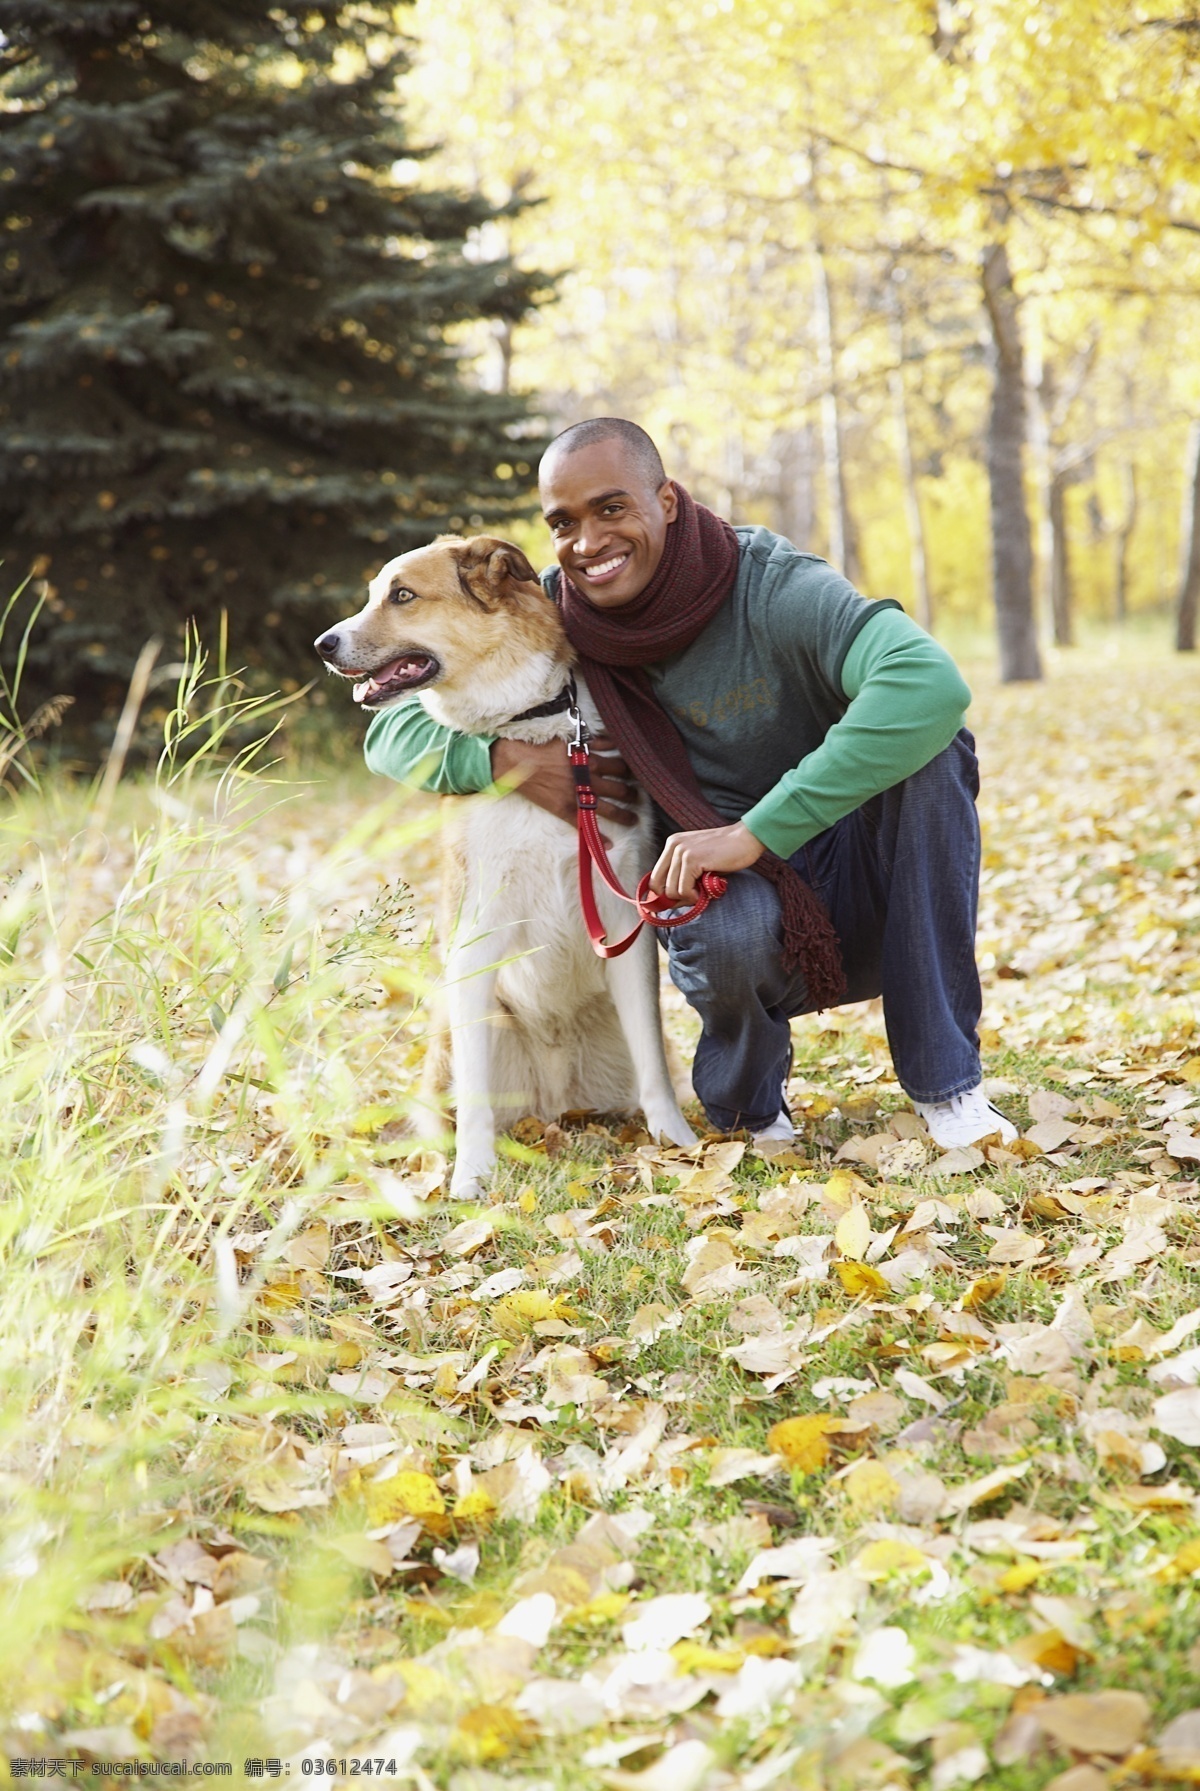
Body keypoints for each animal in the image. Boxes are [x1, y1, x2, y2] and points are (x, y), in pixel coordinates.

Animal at [315, 537, 702, 1196]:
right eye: (373, 595)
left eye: (402, 595)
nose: (323, 644)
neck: (530, 720)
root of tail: (553, 1103)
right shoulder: (476, 932)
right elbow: (474, 1099)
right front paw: (471, 1179)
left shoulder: (624, 918)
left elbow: (653, 1059)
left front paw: (676, 1142)